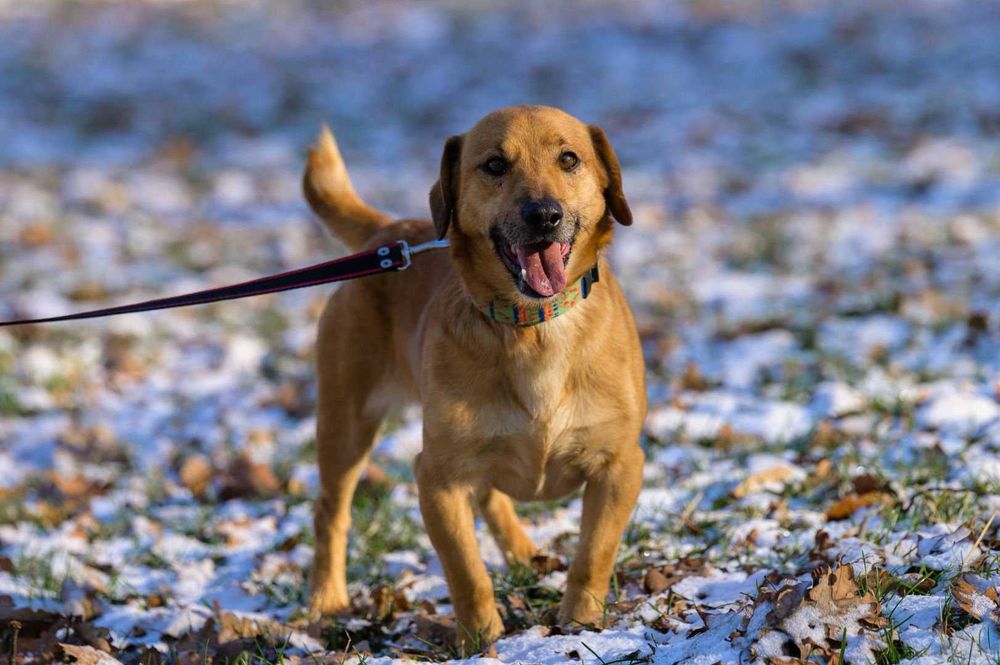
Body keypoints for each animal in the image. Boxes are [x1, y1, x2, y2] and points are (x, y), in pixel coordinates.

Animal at [300, 104, 644, 648]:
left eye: (569, 159)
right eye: (495, 165)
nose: (544, 215)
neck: (534, 328)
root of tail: (385, 234)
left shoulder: (620, 466)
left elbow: (594, 554)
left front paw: (581, 622)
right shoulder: (437, 478)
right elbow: (465, 570)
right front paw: (481, 639)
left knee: (490, 494)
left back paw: (525, 553)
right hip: (344, 427)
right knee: (330, 513)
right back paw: (326, 600)